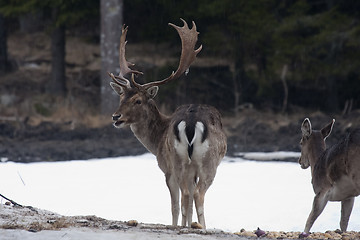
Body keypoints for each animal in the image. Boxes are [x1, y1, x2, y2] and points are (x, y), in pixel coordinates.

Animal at [107, 19, 226, 229]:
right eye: (121, 97)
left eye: (138, 101)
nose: (116, 117)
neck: (157, 140)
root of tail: (191, 122)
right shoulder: (178, 169)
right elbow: (182, 204)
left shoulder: (173, 168)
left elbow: (178, 204)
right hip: (197, 162)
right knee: (192, 195)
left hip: (184, 162)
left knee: (189, 196)